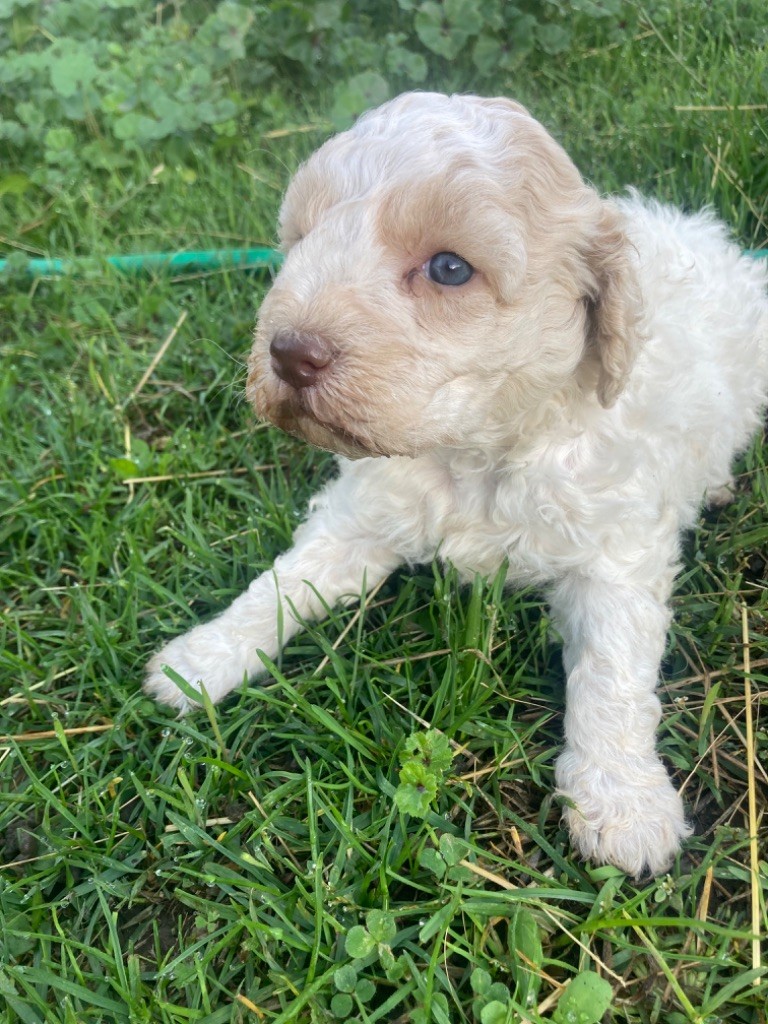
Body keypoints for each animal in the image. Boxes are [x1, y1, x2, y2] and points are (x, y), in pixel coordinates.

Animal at [145, 96, 768, 876]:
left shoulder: (614, 555)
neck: (477, 452)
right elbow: (285, 583)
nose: (287, 352)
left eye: (449, 268)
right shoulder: (361, 512)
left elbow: (612, 673)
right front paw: (202, 660)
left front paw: (624, 804)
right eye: (302, 239)